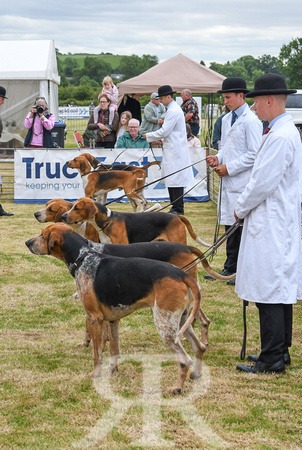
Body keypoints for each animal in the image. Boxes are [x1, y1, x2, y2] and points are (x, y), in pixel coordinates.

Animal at [26, 224, 206, 394]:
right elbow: (114, 349)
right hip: (182, 322)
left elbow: (97, 353)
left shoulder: (94, 318)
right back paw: (196, 374)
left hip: (165, 326)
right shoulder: (113, 320)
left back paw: (177, 388)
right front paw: (112, 370)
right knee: (200, 347)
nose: (27, 242)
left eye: (42, 235)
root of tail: (182, 275)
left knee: (184, 360)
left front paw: (95, 374)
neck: (83, 257)